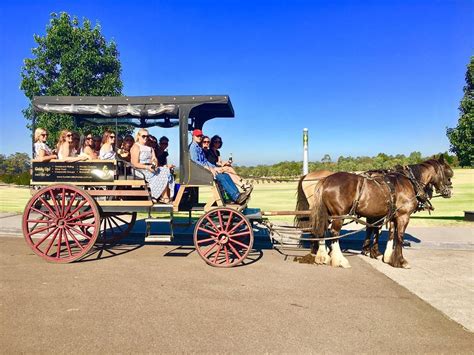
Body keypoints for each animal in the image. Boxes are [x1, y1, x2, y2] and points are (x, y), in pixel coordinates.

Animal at [312, 156, 452, 270]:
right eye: (448, 172)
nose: (449, 191)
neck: (410, 181)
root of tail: (325, 180)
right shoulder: (403, 216)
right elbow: (399, 236)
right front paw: (401, 261)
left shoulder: (392, 216)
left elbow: (390, 234)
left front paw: (387, 257)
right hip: (339, 215)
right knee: (334, 233)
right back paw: (340, 260)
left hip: (327, 214)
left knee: (323, 230)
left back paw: (322, 256)